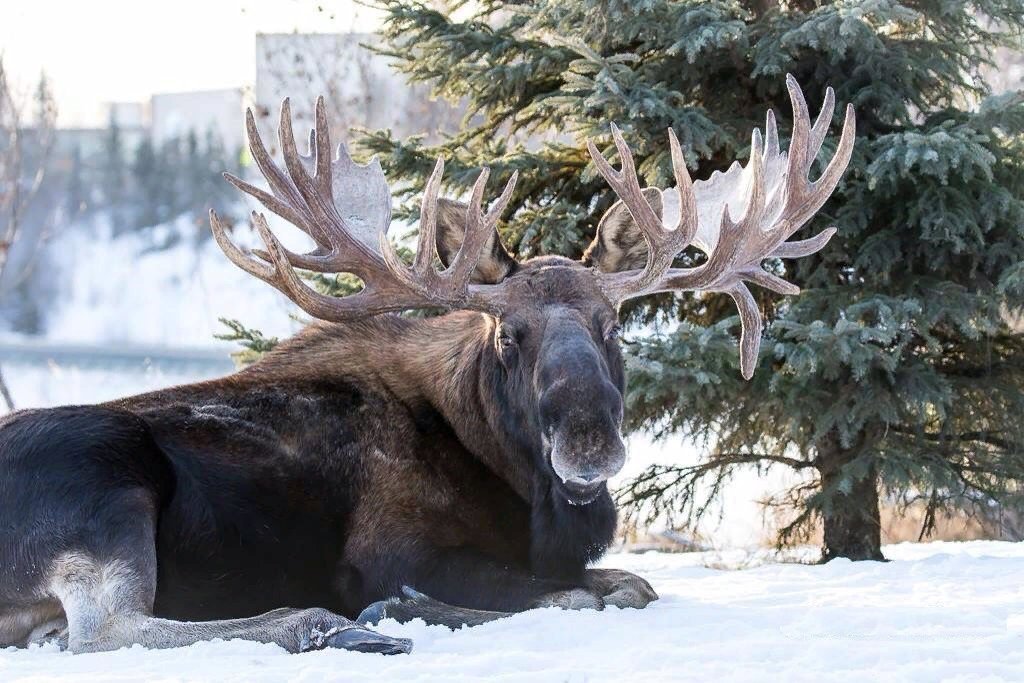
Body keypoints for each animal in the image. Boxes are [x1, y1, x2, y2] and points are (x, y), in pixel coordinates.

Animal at [0, 76, 851, 655]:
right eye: (509, 334)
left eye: (614, 325)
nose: (589, 440)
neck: (530, 497)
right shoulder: (394, 547)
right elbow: (583, 593)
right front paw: (399, 606)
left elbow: (626, 582)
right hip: (108, 481)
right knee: (103, 628)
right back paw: (329, 622)